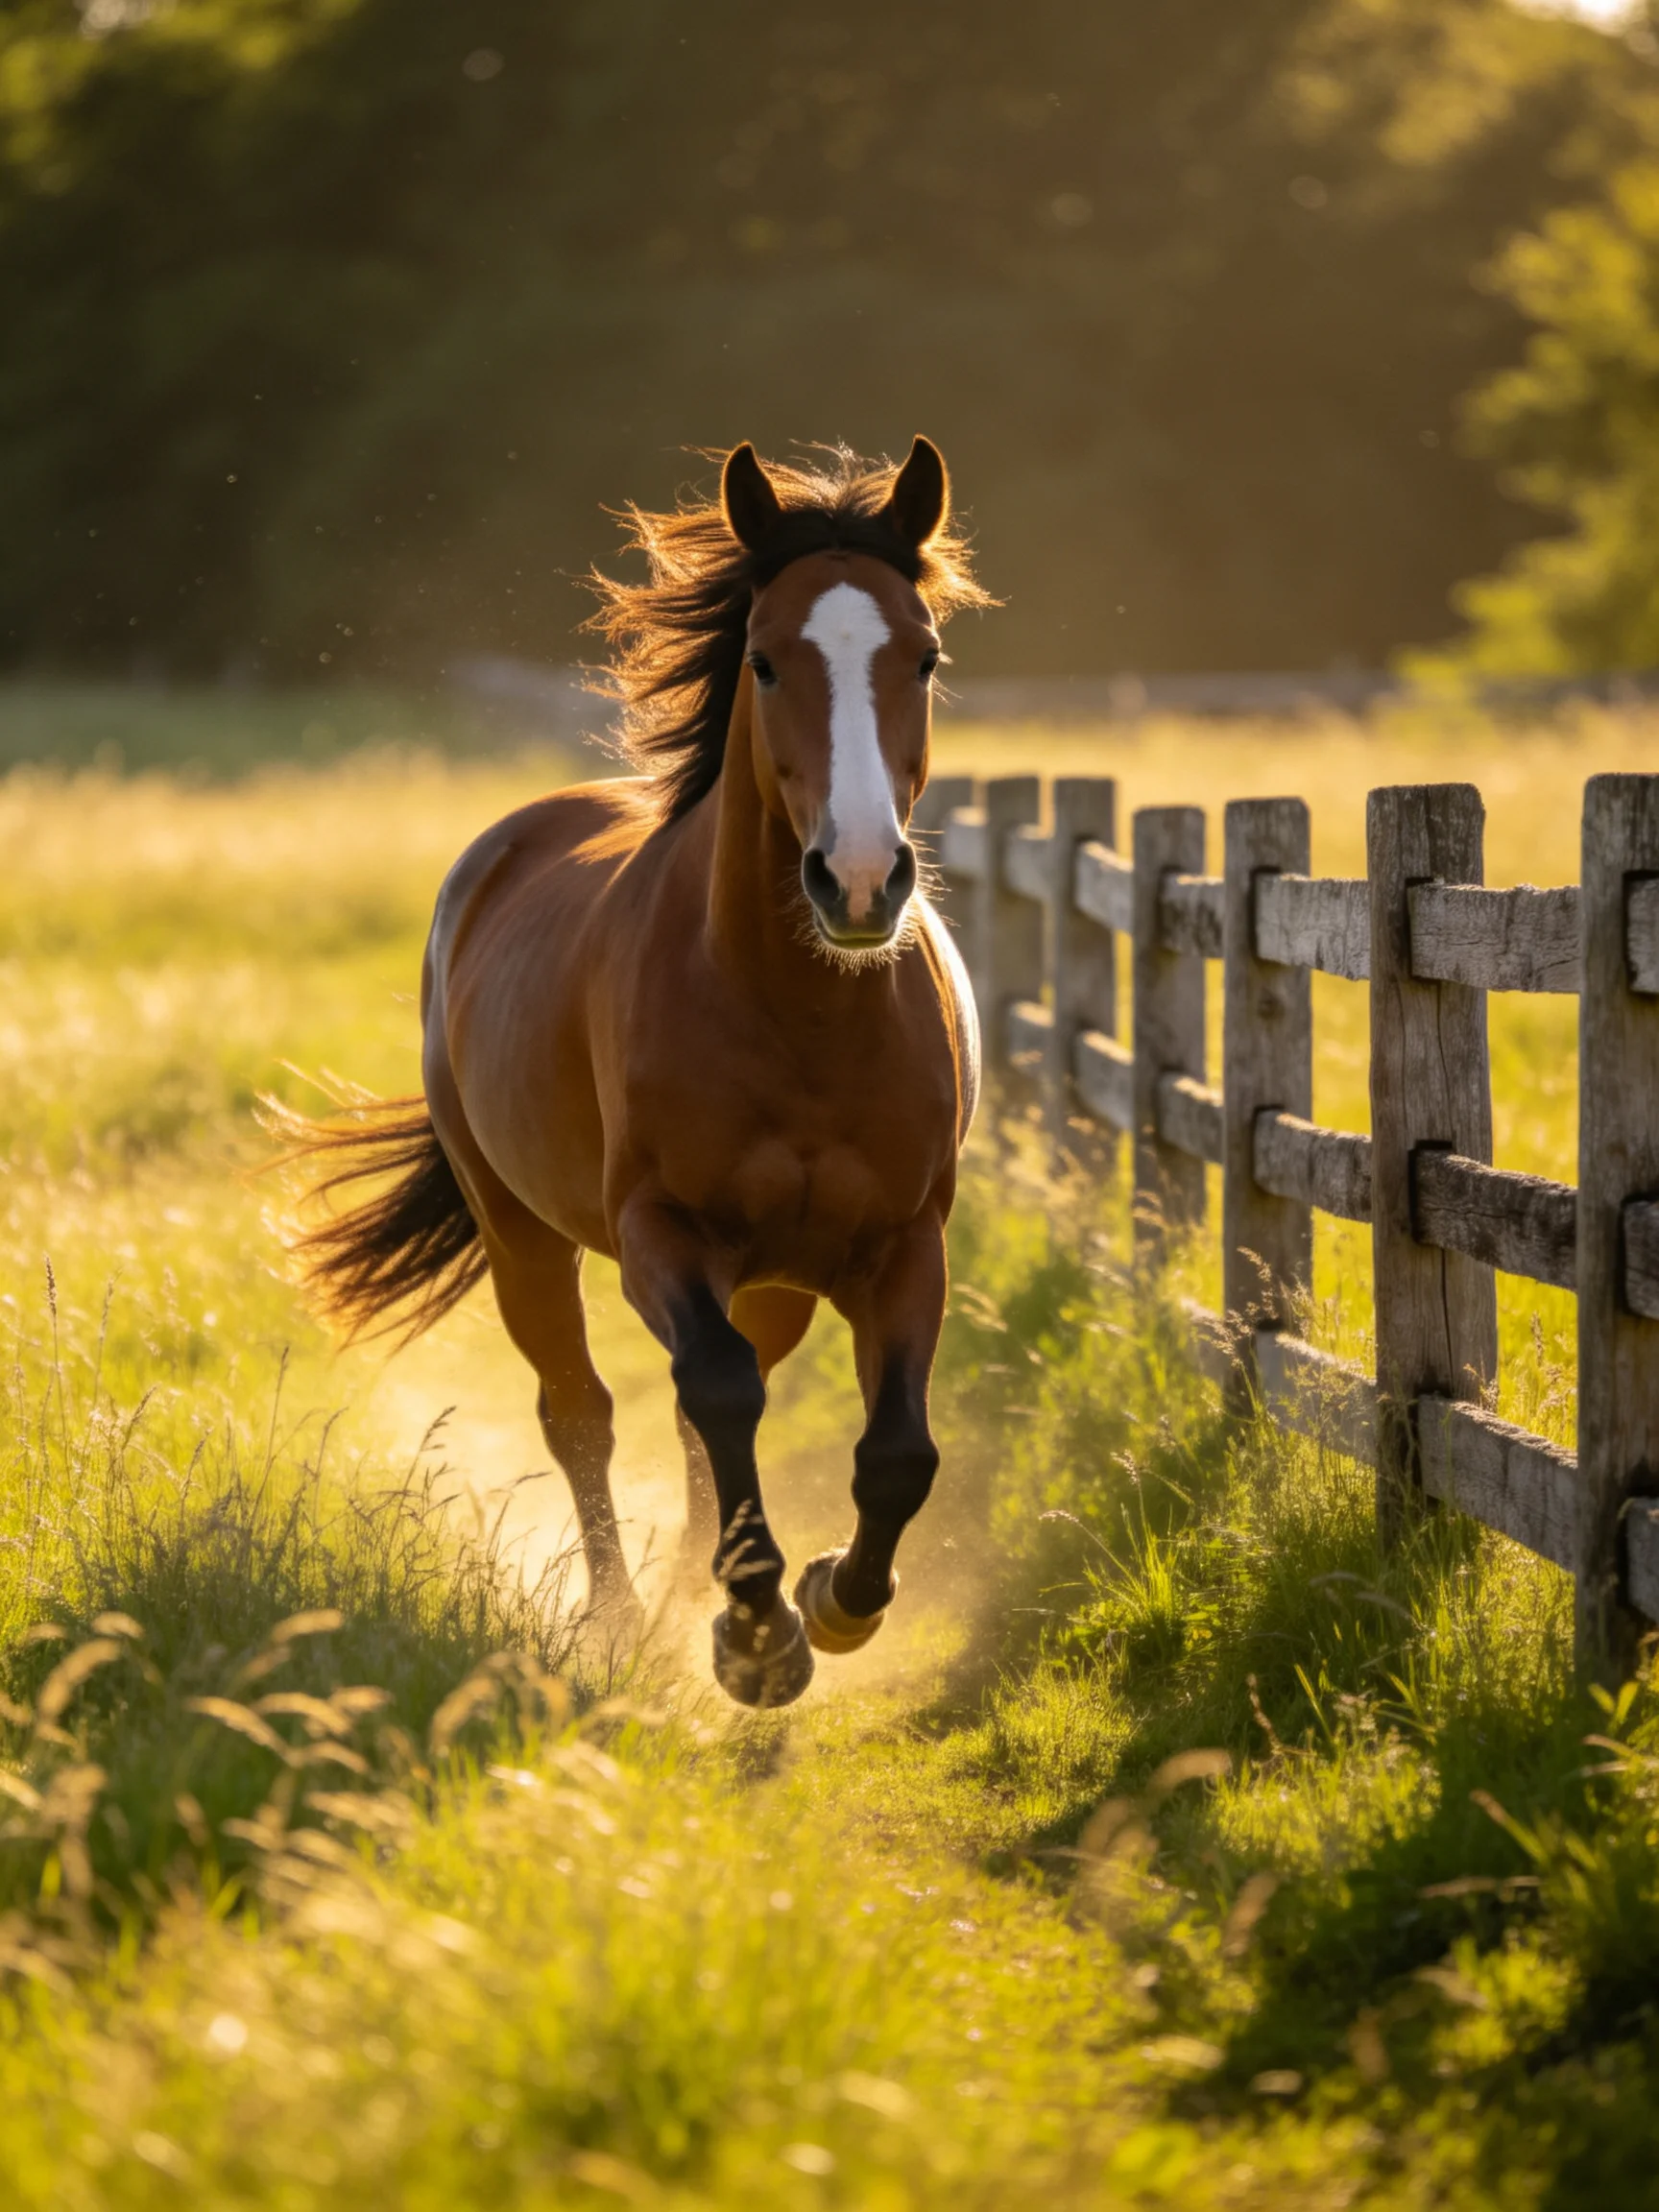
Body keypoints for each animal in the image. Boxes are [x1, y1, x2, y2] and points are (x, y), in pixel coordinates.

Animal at [274, 437, 988, 1708]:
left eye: (925, 656)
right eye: (764, 659)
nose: (859, 881)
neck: (799, 1015)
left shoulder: (904, 1244)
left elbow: (897, 1451)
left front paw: (826, 1601)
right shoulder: (662, 1232)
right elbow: (711, 1391)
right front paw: (755, 1633)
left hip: (778, 1276)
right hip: (523, 1236)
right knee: (583, 1412)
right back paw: (619, 1616)